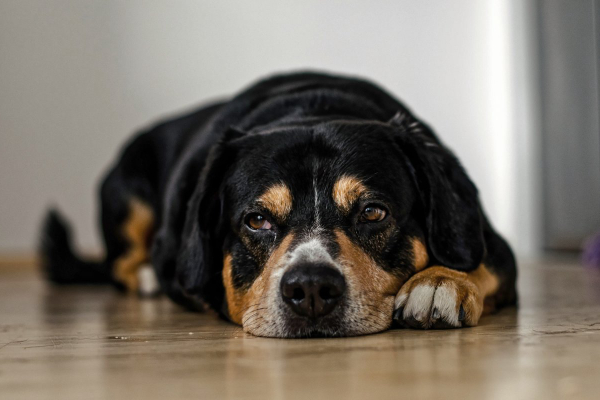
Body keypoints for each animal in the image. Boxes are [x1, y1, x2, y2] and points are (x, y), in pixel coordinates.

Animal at [39, 72, 516, 338]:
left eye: (372, 212)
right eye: (257, 220)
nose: (311, 289)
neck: (312, 110)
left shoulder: (490, 240)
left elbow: (482, 260)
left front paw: (439, 282)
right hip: (128, 194)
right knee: (120, 262)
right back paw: (146, 276)